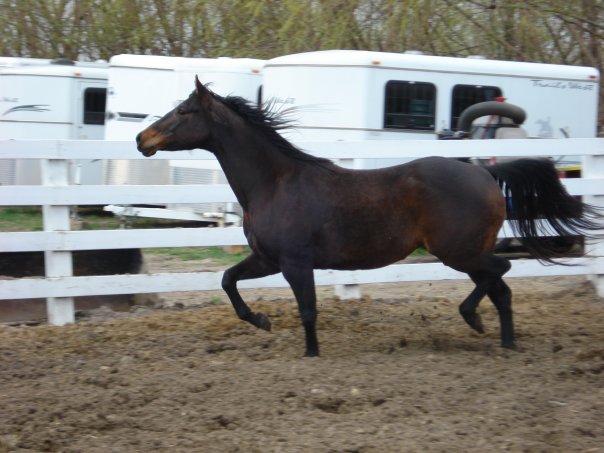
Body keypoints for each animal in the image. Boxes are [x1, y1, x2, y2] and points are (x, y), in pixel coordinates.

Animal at [137, 77, 600, 356]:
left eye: (184, 111)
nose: (142, 139)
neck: (276, 182)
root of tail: (484, 171)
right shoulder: (268, 259)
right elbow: (227, 280)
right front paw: (262, 321)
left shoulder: (295, 263)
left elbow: (308, 310)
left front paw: (311, 353)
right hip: (467, 254)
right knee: (501, 290)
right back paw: (504, 342)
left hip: (459, 252)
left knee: (500, 272)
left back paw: (473, 318)